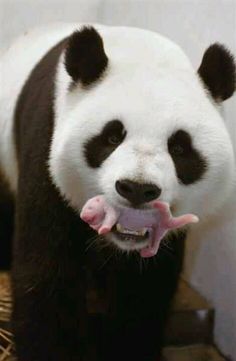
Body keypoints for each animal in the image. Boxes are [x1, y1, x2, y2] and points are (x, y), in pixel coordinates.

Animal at [0, 23, 235, 360]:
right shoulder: (46, 149)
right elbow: (48, 274)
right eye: (112, 137)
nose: (137, 189)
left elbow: (142, 292)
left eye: (179, 147)